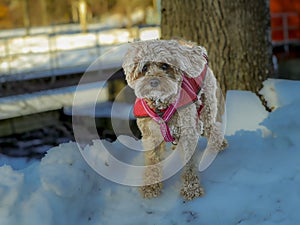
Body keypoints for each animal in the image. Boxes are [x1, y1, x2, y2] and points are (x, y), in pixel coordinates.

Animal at [122, 39, 227, 200]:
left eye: (165, 66)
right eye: (144, 67)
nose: (154, 82)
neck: (161, 105)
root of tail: (195, 48)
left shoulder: (188, 133)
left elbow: (189, 164)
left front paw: (191, 189)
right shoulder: (150, 136)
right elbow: (152, 160)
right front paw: (151, 187)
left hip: (207, 106)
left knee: (212, 128)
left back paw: (218, 145)